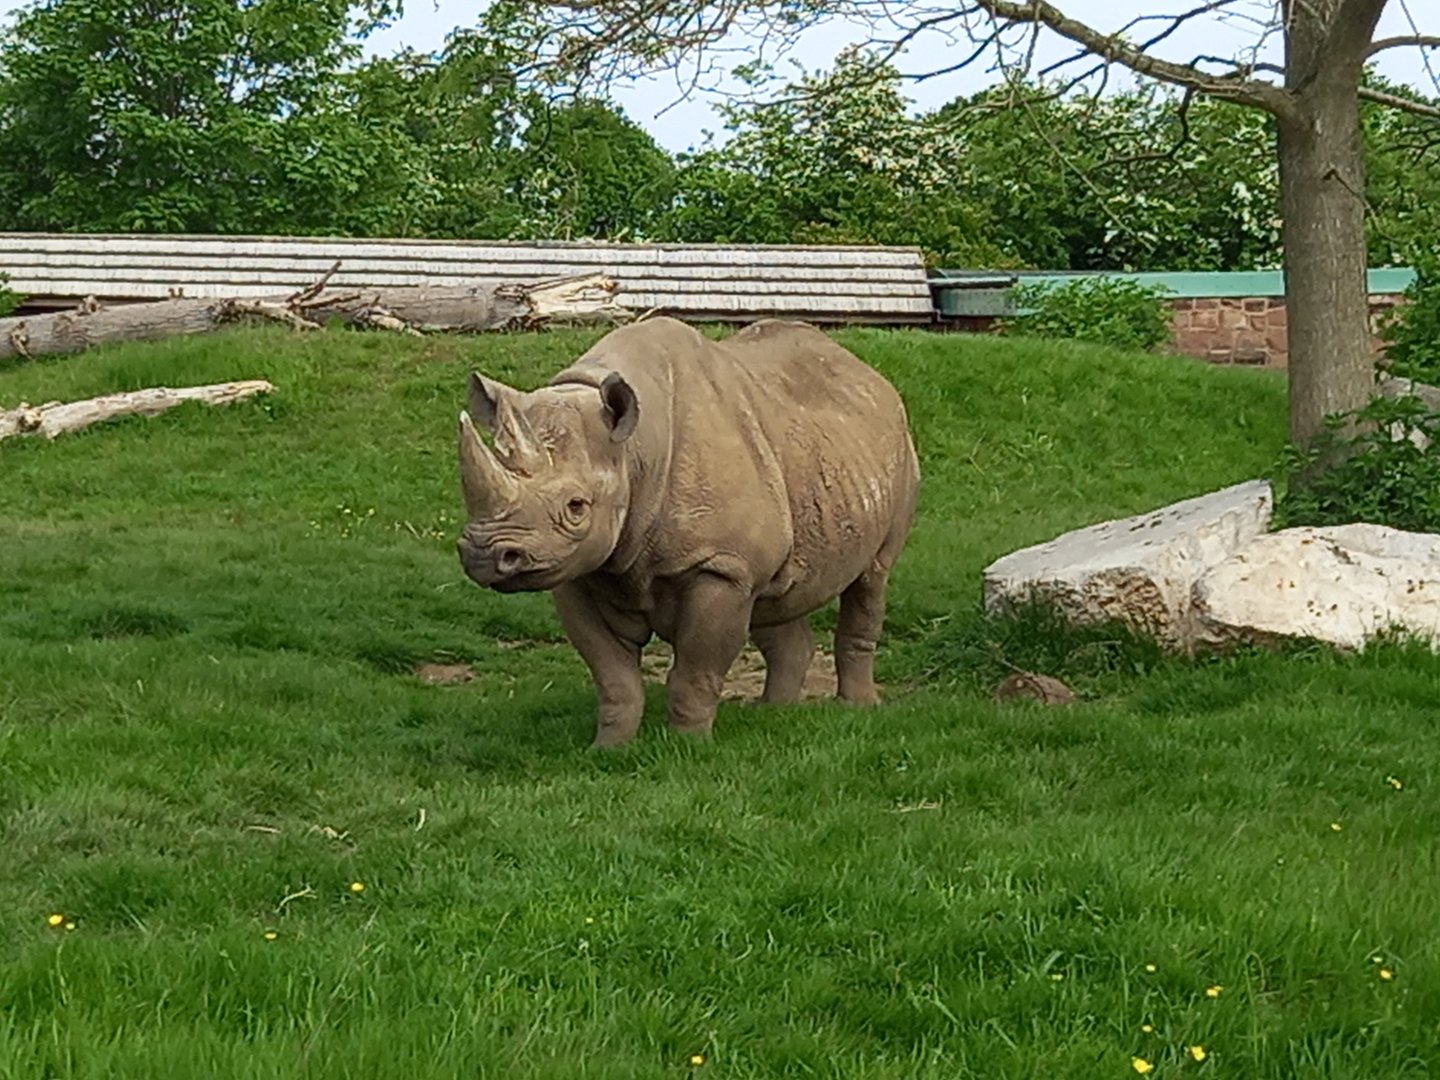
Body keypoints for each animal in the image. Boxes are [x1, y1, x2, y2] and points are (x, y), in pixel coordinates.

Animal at [455, 316, 920, 747]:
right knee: (773, 593)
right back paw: (774, 714)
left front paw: (689, 749)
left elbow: (695, 673)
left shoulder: (719, 565)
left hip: (898, 454)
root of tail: (867, 373)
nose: (483, 554)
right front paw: (607, 750)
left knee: (872, 578)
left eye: (576, 507)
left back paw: (858, 708)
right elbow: (614, 679)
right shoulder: (581, 571)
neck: (634, 451)